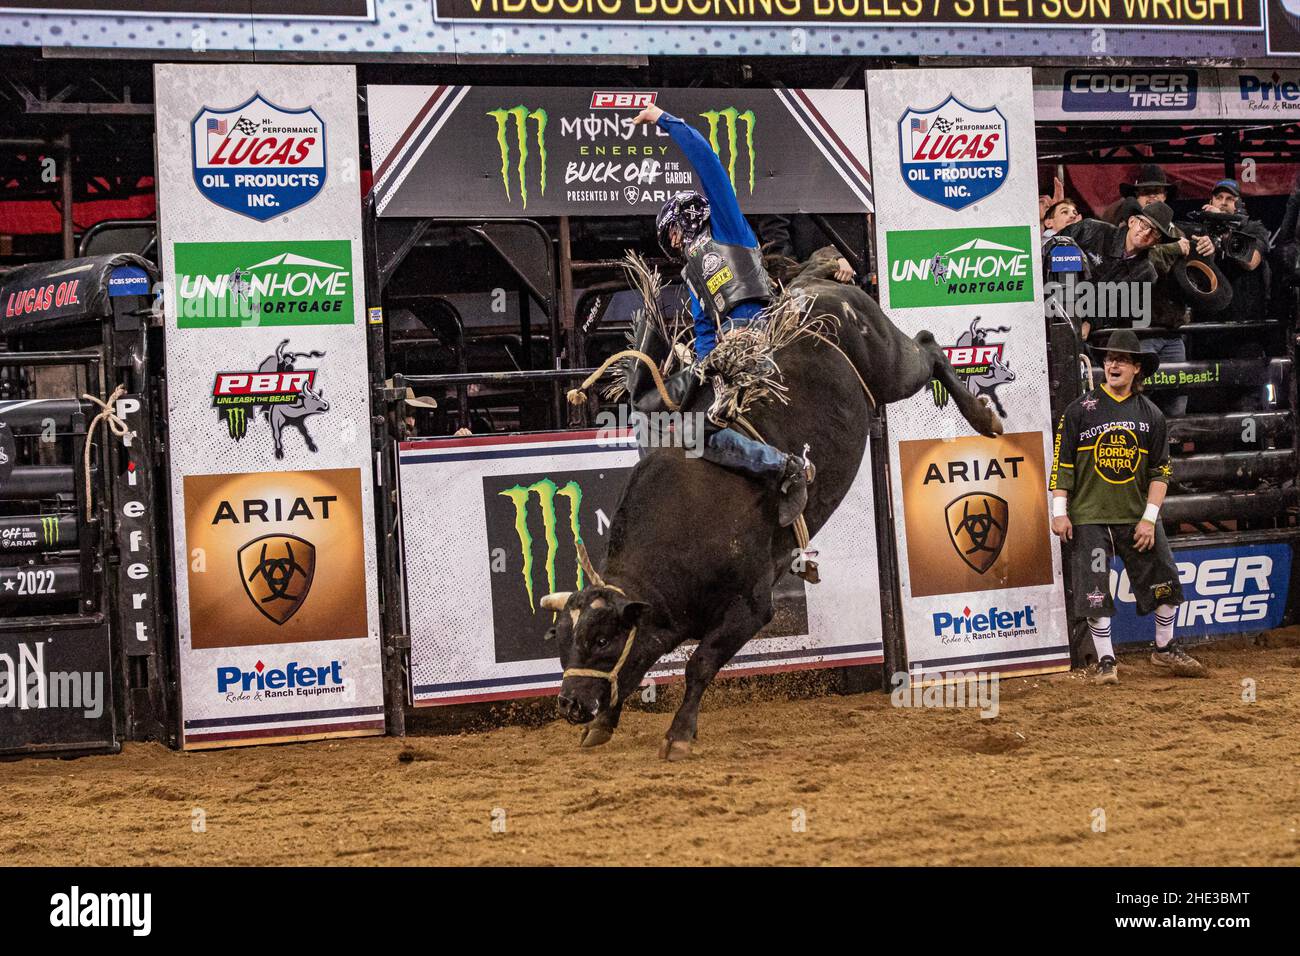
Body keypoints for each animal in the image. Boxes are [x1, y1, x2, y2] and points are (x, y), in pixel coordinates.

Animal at [543, 273, 998, 759]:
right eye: (564, 641)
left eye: (602, 640)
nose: (569, 704)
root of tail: (813, 284)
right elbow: (635, 671)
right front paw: (603, 725)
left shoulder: (751, 607)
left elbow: (699, 665)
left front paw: (679, 734)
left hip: (891, 365)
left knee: (928, 348)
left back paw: (984, 418)